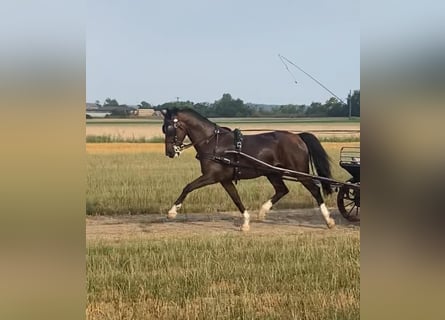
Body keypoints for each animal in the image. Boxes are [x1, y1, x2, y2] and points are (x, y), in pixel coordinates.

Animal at [160, 109, 332, 231]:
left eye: (170, 128)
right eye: (164, 128)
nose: (169, 152)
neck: (213, 143)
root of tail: (298, 137)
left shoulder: (211, 176)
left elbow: (188, 187)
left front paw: (172, 212)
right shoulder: (225, 180)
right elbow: (236, 198)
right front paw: (246, 222)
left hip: (299, 173)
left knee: (315, 190)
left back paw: (328, 220)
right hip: (272, 173)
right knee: (282, 190)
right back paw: (262, 212)